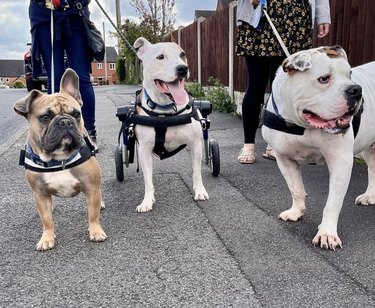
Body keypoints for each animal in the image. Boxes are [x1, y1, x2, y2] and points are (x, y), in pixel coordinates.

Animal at [132, 37, 209, 213]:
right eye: (160, 57)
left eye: (182, 55)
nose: (183, 68)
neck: (166, 111)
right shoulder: (144, 150)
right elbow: (148, 180)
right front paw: (147, 201)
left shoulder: (195, 144)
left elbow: (197, 172)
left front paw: (200, 191)